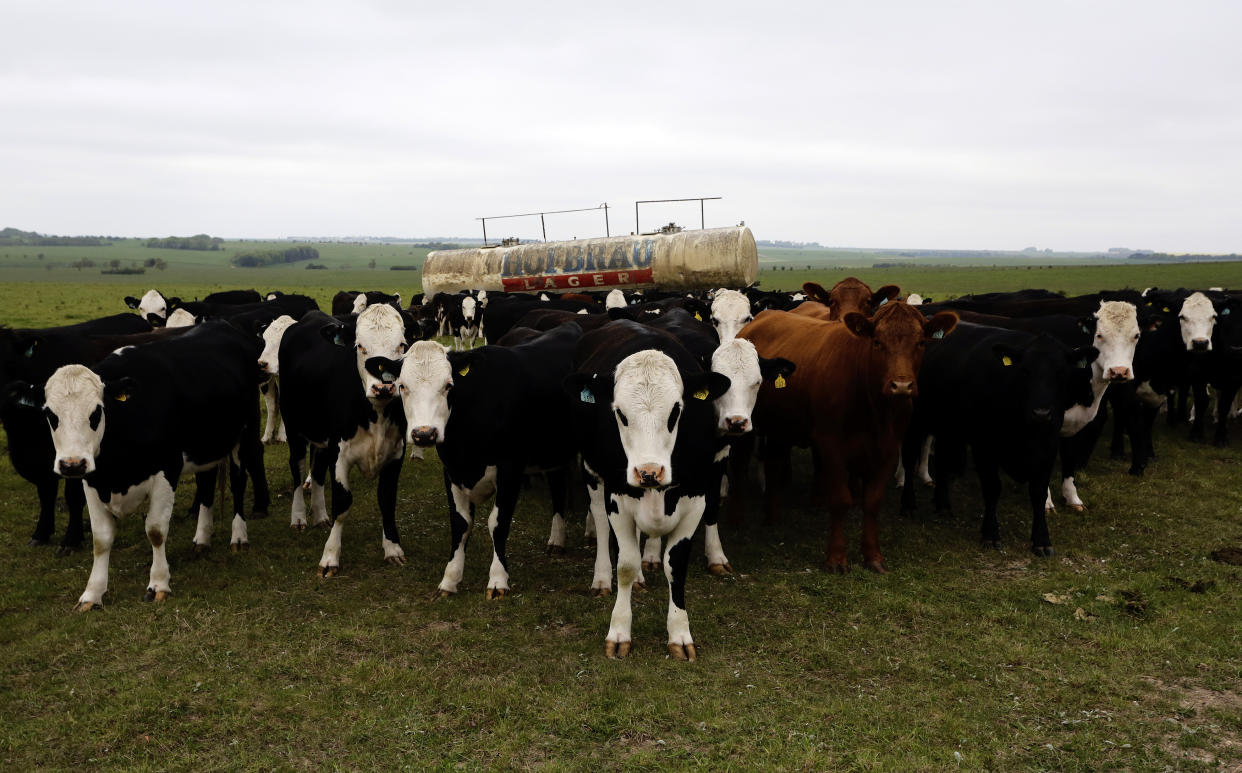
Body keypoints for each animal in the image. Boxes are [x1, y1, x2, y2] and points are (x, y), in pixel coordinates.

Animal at [275, 305, 412, 571]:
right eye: (359, 346)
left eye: (402, 344)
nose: (383, 387)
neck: (375, 413)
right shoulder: (339, 453)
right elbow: (342, 502)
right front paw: (330, 556)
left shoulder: (395, 453)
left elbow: (387, 500)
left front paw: (393, 548)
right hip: (294, 427)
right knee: (297, 470)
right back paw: (298, 517)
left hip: (322, 438)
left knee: (317, 472)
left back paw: (320, 516)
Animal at [365, 320, 583, 599]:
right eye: (402, 386)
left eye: (448, 385)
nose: (424, 433)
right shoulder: (452, 470)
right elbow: (460, 523)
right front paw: (450, 579)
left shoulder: (510, 468)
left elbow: (498, 523)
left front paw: (498, 580)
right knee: (557, 486)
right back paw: (557, 539)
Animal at [568, 320, 730, 661]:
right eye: (619, 413)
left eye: (676, 411)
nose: (649, 471)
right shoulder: (617, 496)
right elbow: (626, 564)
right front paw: (619, 632)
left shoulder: (696, 497)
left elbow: (675, 565)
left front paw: (679, 634)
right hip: (592, 471)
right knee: (600, 523)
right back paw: (602, 576)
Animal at [725, 303, 958, 576]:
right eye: (877, 342)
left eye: (921, 342)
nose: (901, 386)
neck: (874, 408)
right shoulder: (831, 446)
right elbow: (839, 500)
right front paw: (836, 558)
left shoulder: (889, 450)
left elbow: (872, 502)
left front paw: (873, 556)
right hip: (745, 425)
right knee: (739, 467)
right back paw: (736, 520)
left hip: (781, 425)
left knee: (774, 463)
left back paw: (773, 517)